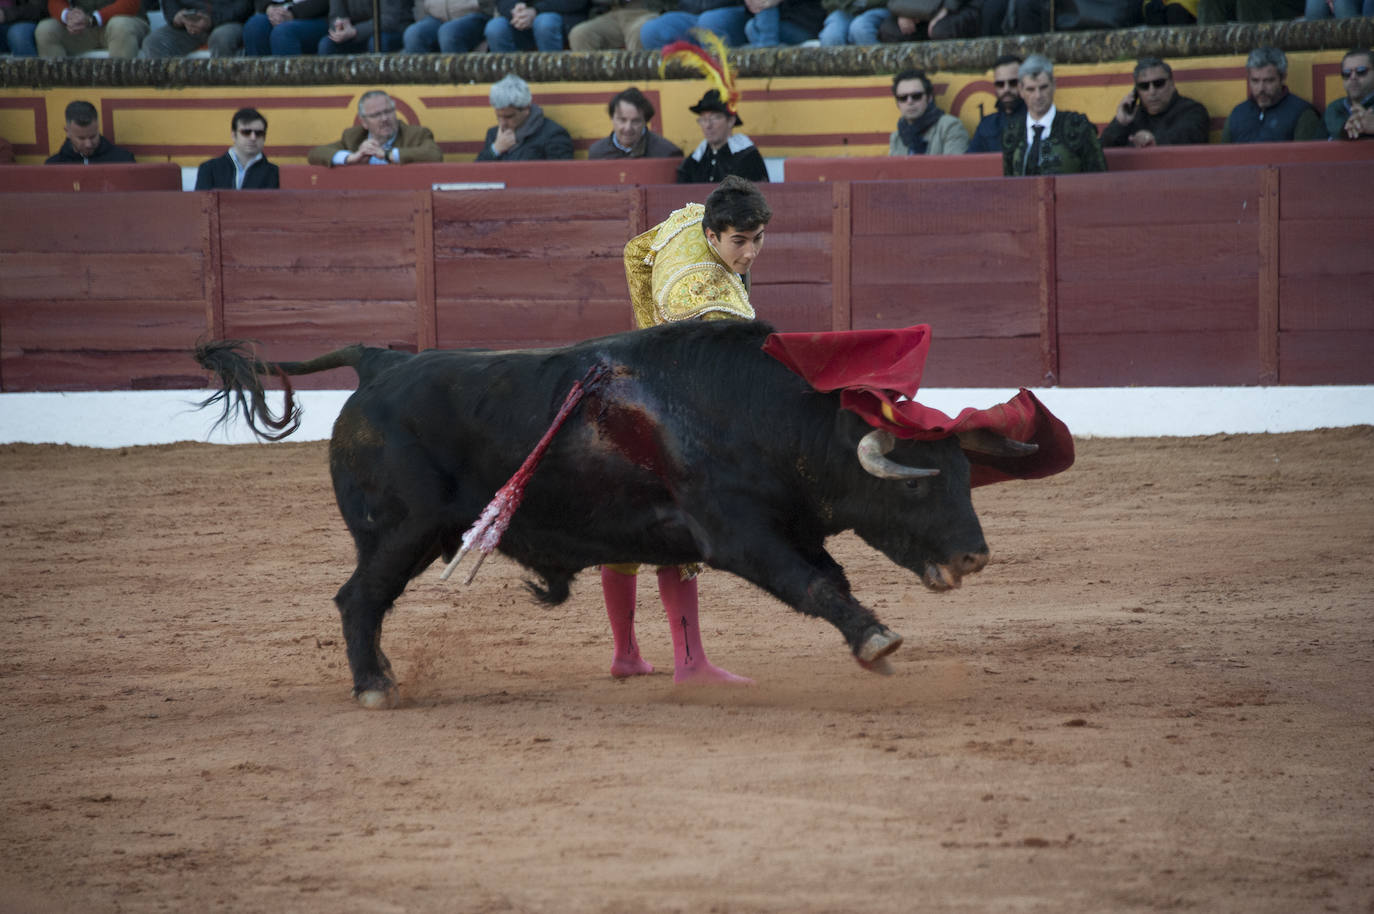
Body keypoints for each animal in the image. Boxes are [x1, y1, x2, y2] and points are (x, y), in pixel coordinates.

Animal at [190, 320, 1033, 703]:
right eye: (918, 484)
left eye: (967, 475)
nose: (975, 555)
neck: (767, 414)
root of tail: (379, 364)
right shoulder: (739, 534)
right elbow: (816, 585)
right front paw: (878, 642)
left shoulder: (783, 528)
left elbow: (828, 578)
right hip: (402, 531)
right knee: (358, 597)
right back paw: (373, 686)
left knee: (365, 600)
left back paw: (386, 674)